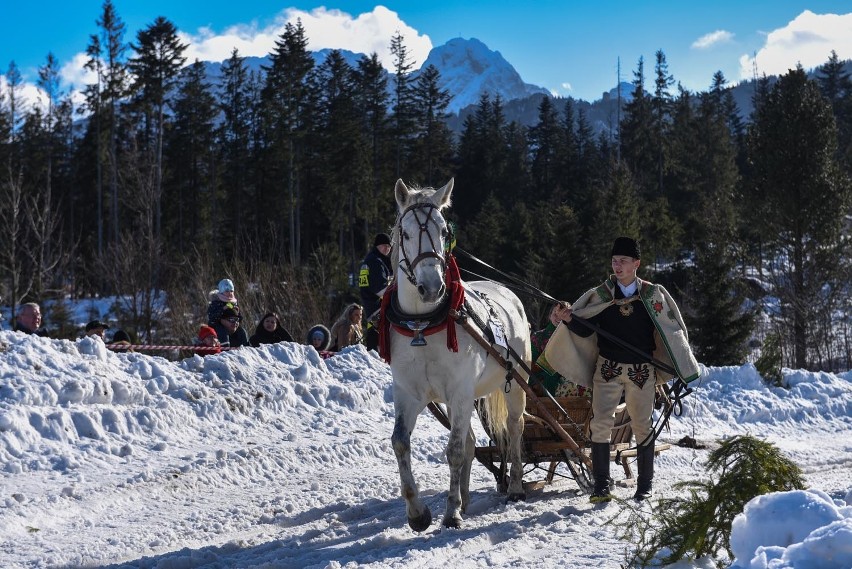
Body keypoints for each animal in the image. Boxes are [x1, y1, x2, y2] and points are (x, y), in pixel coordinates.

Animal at [384, 176, 524, 528]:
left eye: (444, 232)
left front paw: (450, 513)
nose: (433, 288)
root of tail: (501, 287)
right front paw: (418, 513)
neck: (421, 326)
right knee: (472, 441)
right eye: (406, 233)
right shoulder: (409, 392)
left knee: (515, 427)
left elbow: (455, 451)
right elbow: (400, 442)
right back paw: (466, 498)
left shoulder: (460, 390)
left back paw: (515, 487)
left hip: (515, 381)